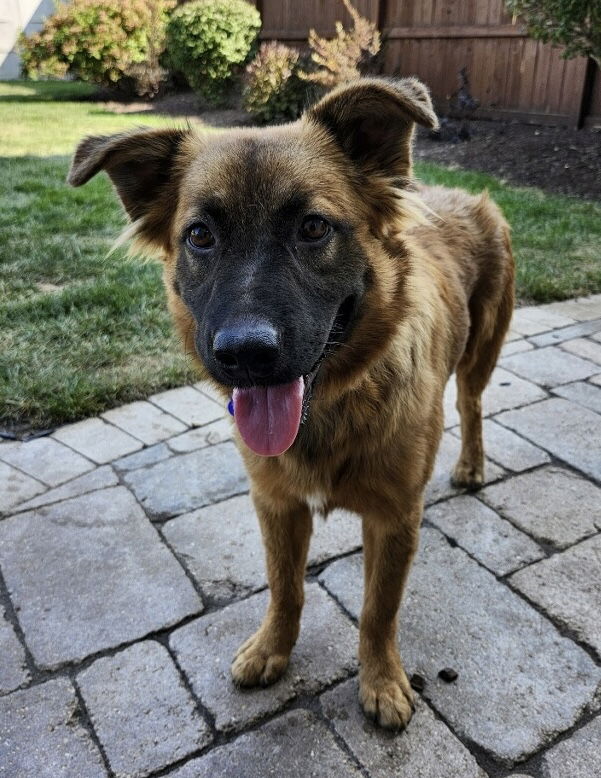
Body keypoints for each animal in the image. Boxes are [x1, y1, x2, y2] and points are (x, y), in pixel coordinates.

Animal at [68, 77, 512, 728]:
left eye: (313, 228)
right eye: (200, 236)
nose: (245, 354)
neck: (331, 403)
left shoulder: (396, 517)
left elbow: (379, 609)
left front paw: (381, 682)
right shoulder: (276, 503)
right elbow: (286, 586)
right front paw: (272, 649)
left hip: (482, 349)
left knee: (472, 405)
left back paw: (472, 465)